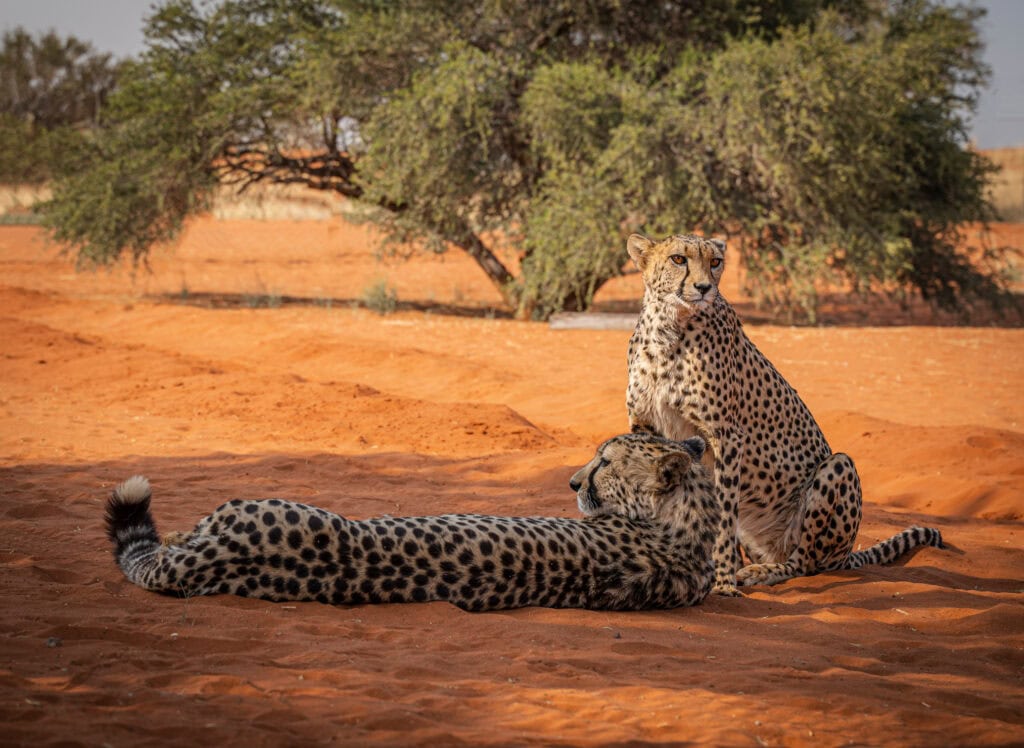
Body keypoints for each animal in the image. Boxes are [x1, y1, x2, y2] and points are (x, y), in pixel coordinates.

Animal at [624, 233, 946, 595]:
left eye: (715, 262)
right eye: (679, 259)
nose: (705, 287)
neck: (668, 327)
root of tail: (846, 554)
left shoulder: (726, 435)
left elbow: (723, 516)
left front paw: (722, 583)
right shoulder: (645, 424)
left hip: (838, 468)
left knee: (804, 563)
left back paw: (759, 572)